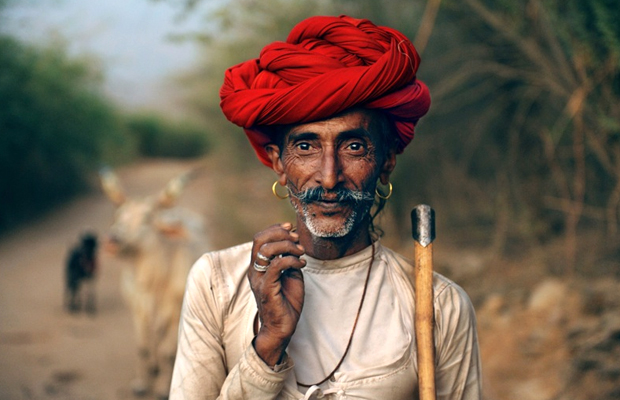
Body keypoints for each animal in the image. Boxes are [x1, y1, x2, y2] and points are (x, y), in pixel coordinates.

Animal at [100, 167, 207, 398]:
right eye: (119, 215)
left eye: (147, 217)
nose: (112, 239)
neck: (153, 281)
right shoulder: (137, 308)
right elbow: (143, 346)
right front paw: (141, 383)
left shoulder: (175, 311)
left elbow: (167, 351)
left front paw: (160, 389)